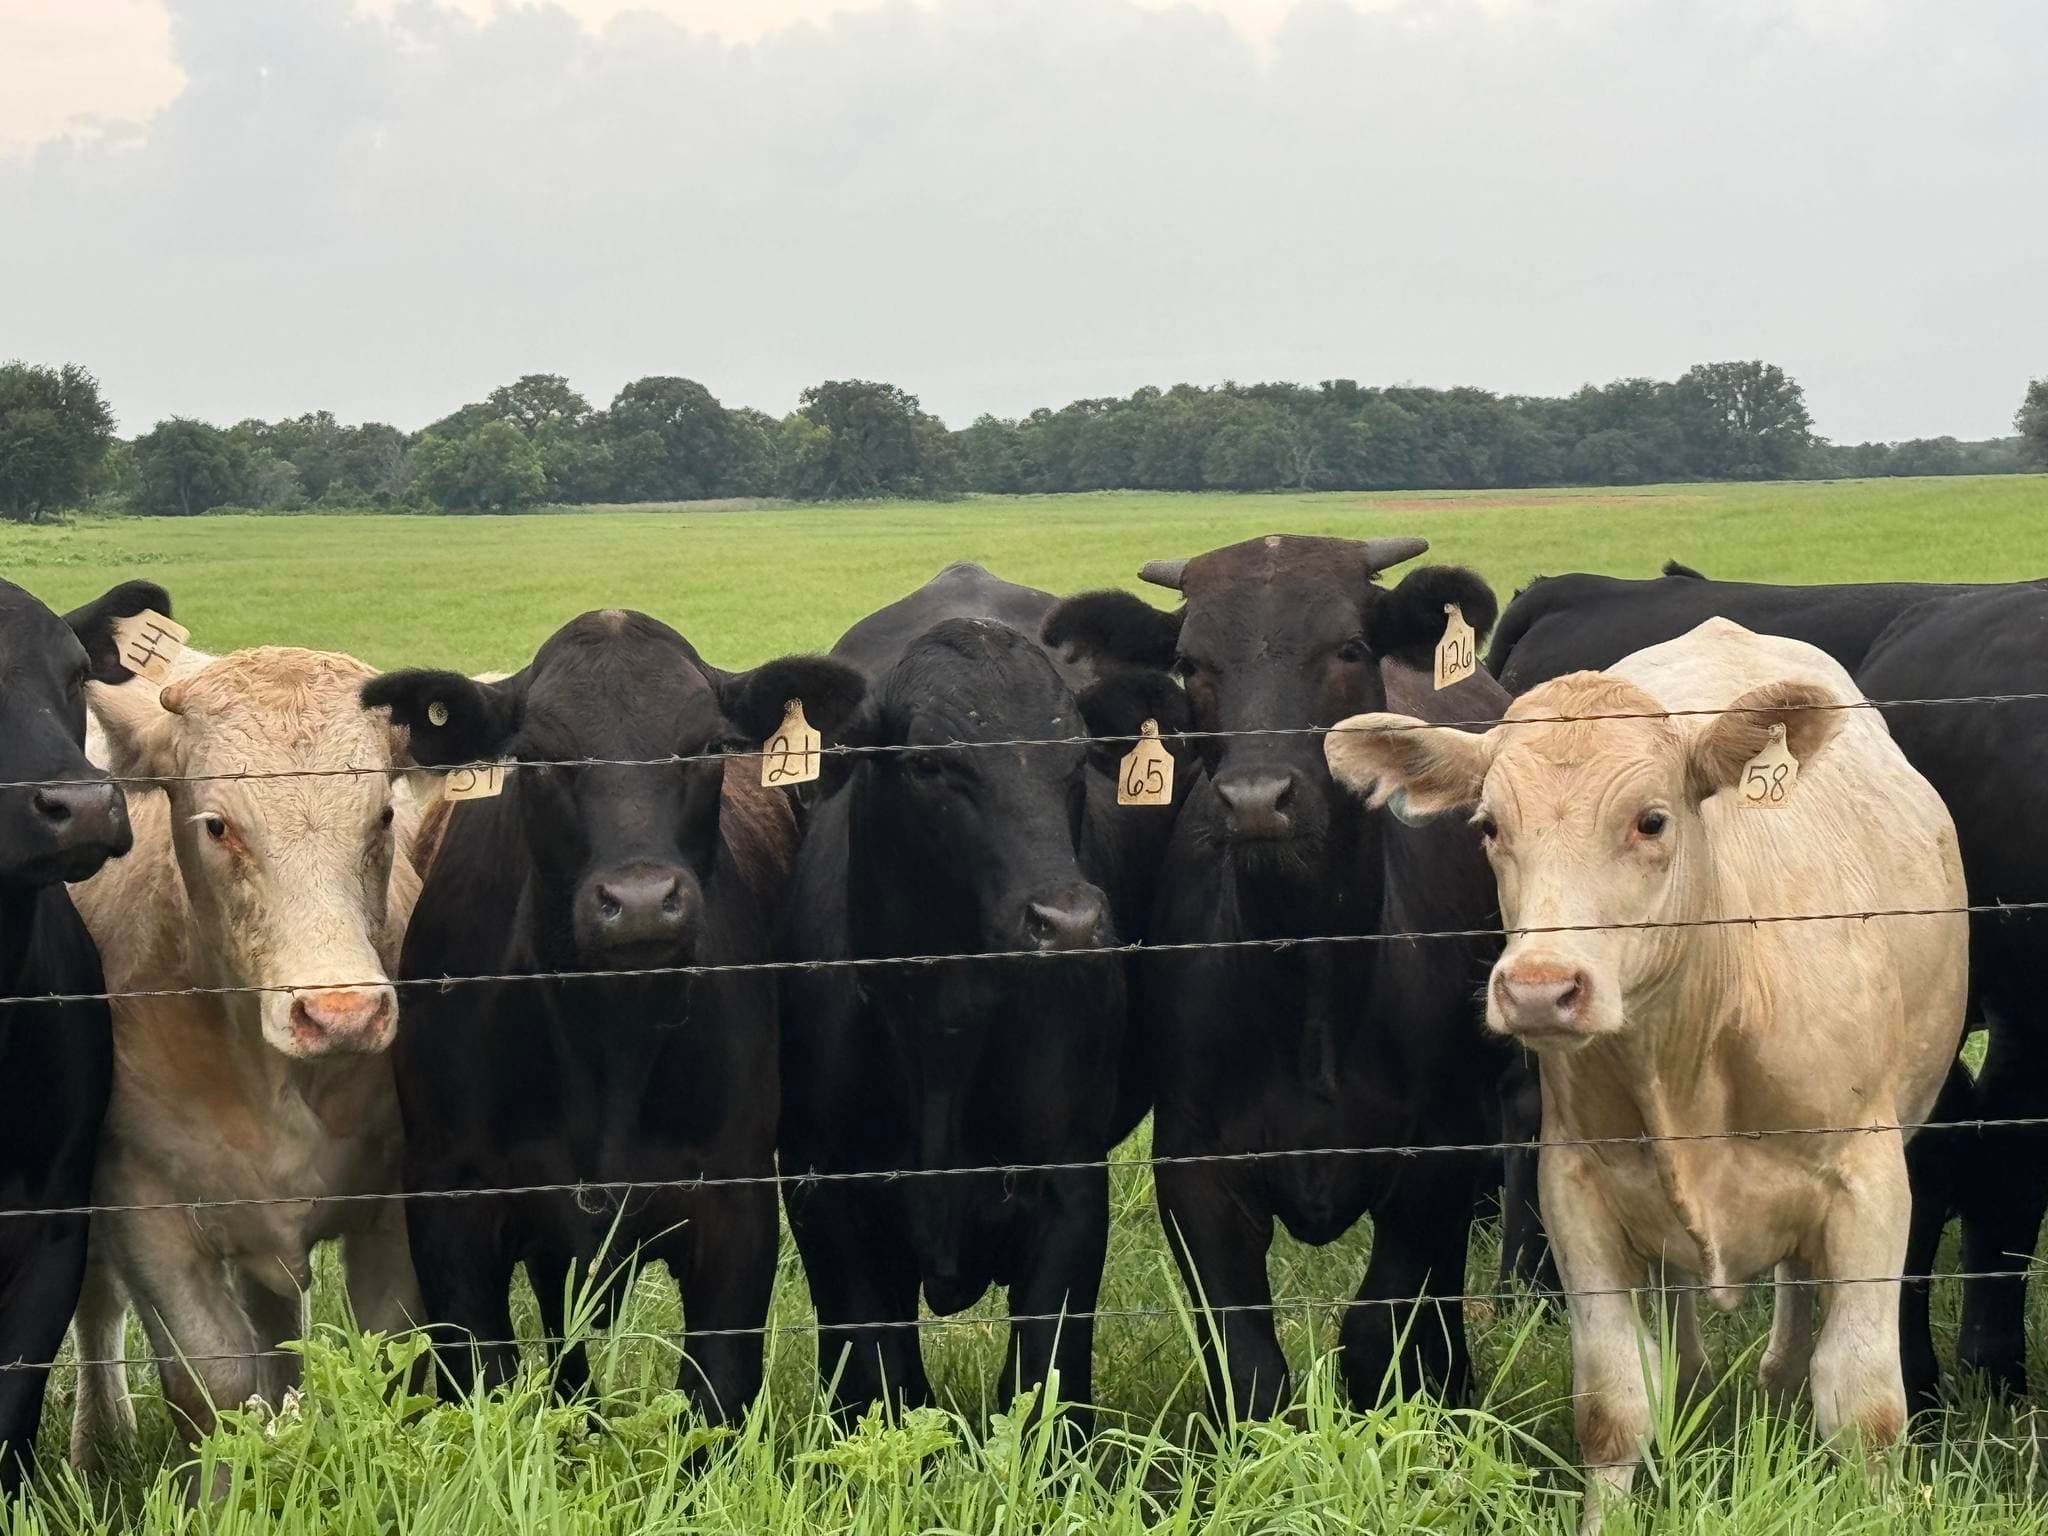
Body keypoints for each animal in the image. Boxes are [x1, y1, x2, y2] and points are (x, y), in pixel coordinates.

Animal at [67, 645, 428, 1468]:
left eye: (383, 815)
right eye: (217, 824)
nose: (340, 1012)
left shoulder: (396, 1199)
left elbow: (386, 1351)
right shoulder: (144, 1209)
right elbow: (212, 1382)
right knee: (98, 1308)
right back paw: (98, 1441)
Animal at [361, 610, 865, 1423]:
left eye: (706, 746)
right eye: (537, 757)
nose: (640, 901)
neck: (607, 1043)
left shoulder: (736, 1207)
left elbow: (716, 1390)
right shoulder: (448, 1205)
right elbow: (484, 1384)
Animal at [780, 564, 1187, 1421]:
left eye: (1078, 759)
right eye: (932, 764)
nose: (1069, 921)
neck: (945, 1023)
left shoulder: (1070, 1186)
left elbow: (1041, 1383)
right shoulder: (824, 1196)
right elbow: (883, 1385)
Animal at [1040, 534, 1507, 1416]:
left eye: (1349, 648)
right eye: (1190, 662)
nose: (1258, 801)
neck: (1312, 988)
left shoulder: (1436, 1153)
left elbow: (1377, 1329)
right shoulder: (1196, 1172)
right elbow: (1250, 1363)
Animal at [1326, 618, 1968, 1533]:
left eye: (1652, 820)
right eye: (1489, 826)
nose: (1539, 988)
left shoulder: (1869, 1183)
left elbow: (1864, 1403)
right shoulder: (1578, 1191)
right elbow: (1612, 1404)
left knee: (1797, 1298)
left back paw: (1777, 1375)